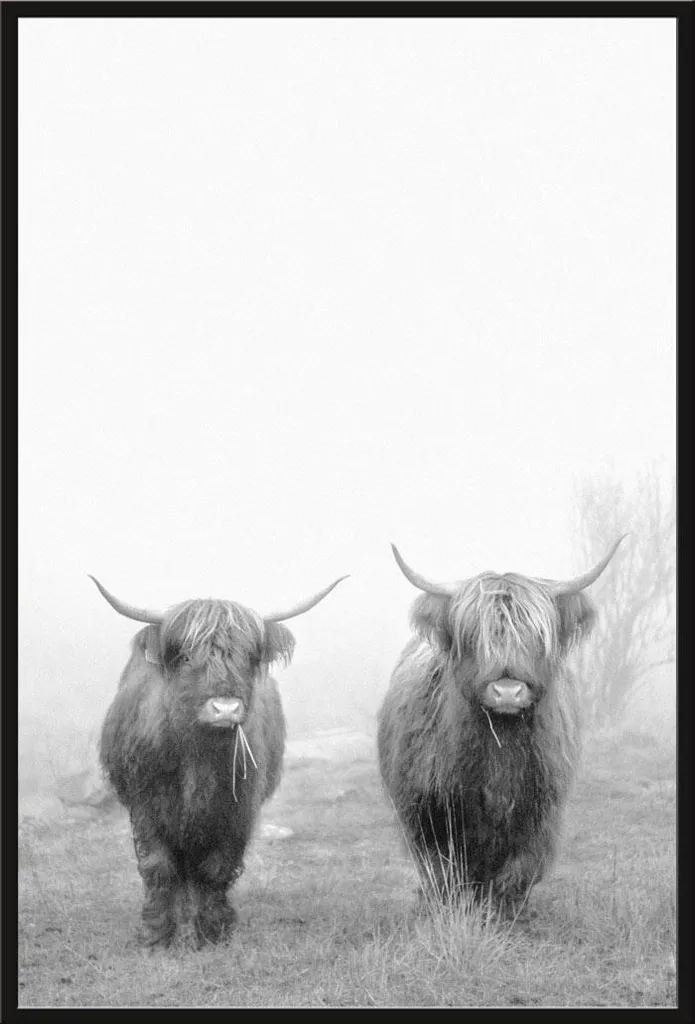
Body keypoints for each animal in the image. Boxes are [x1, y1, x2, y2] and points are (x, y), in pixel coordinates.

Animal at [92, 571, 347, 948]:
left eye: (248, 658)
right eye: (186, 657)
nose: (224, 708)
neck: (199, 756)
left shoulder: (237, 810)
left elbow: (217, 867)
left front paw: (214, 931)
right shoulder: (146, 805)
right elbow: (158, 865)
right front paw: (157, 936)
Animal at [377, 538, 625, 918]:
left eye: (538, 636)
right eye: (471, 636)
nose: (507, 691)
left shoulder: (540, 812)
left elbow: (521, 869)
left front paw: (506, 912)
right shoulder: (427, 813)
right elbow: (444, 871)